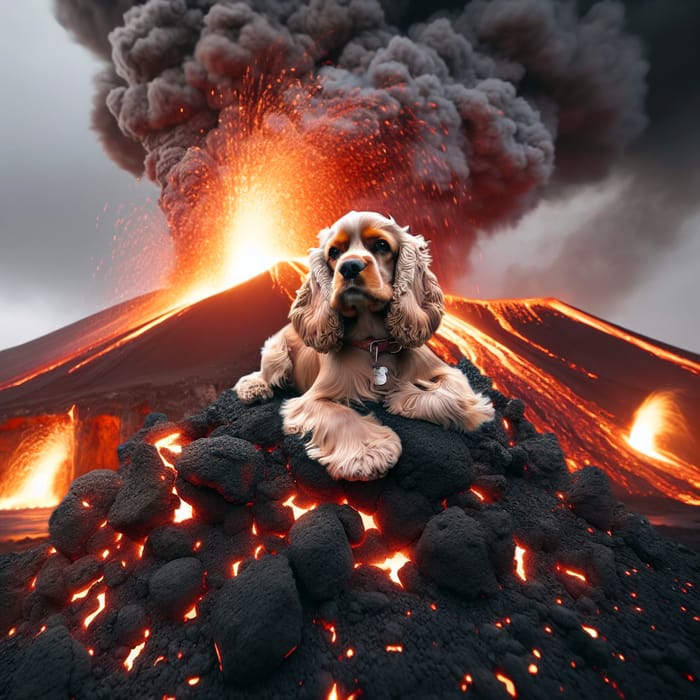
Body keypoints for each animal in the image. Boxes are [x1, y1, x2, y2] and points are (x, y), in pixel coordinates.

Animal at [237, 209, 498, 482]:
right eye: (334, 252)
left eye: (381, 245)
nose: (350, 266)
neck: (375, 343)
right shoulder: (310, 399)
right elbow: (341, 415)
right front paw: (370, 452)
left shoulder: (447, 371)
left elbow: (453, 394)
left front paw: (400, 394)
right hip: (276, 349)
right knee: (264, 373)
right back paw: (254, 388)